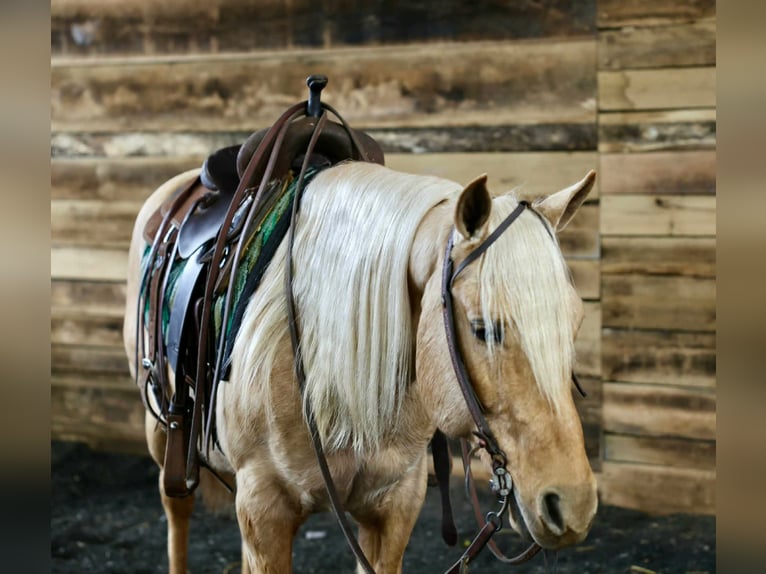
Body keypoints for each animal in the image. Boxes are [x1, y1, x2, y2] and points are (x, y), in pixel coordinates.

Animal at [123, 160, 598, 574]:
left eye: (576, 322)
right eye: (483, 328)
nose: (572, 504)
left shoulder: (393, 505)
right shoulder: (265, 505)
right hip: (163, 433)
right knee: (176, 507)